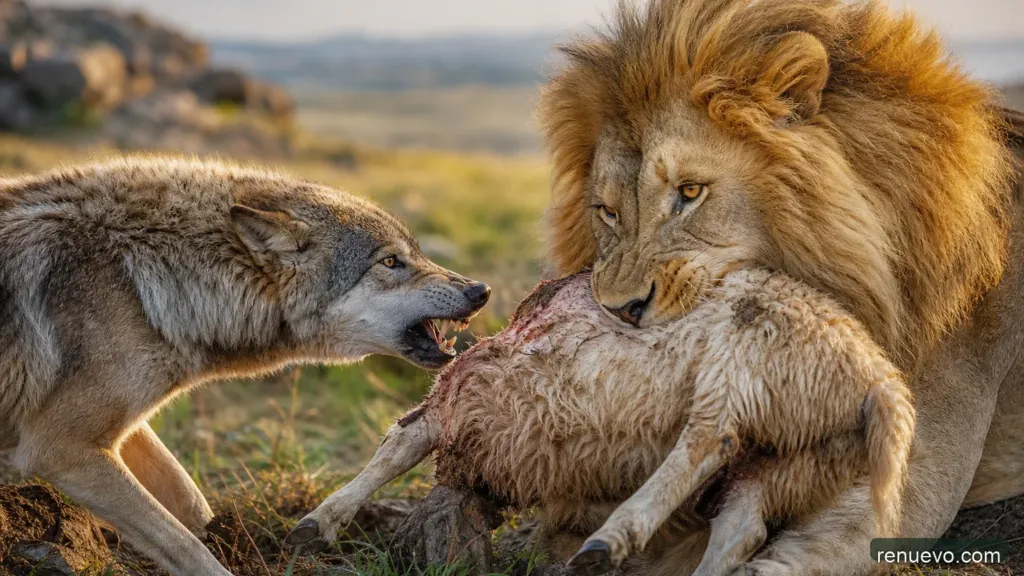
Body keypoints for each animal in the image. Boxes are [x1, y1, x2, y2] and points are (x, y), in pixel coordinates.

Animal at [0, 156, 490, 576]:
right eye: (390, 261)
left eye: (416, 254)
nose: (480, 290)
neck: (140, 279)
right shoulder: (60, 447)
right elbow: (182, 543)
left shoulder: (123, 430)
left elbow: (192, 503)